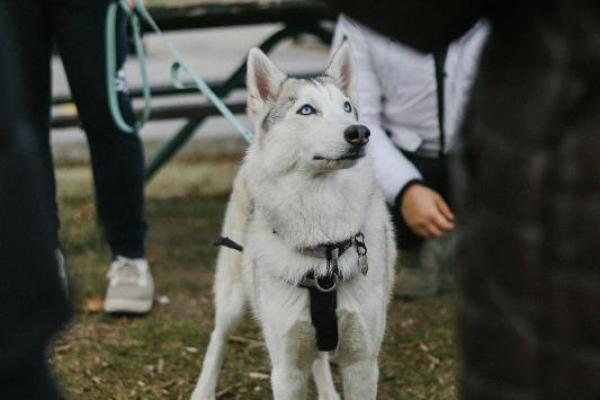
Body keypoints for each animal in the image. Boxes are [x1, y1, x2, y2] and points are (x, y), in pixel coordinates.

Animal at [192, 43, 396, 400]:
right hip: (232, 295)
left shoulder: (362, 363)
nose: (359, 132)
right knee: (218, 337)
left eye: (347, 107)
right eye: (306, 110)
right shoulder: (286, 369)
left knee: (319, 360)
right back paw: (203, 390)